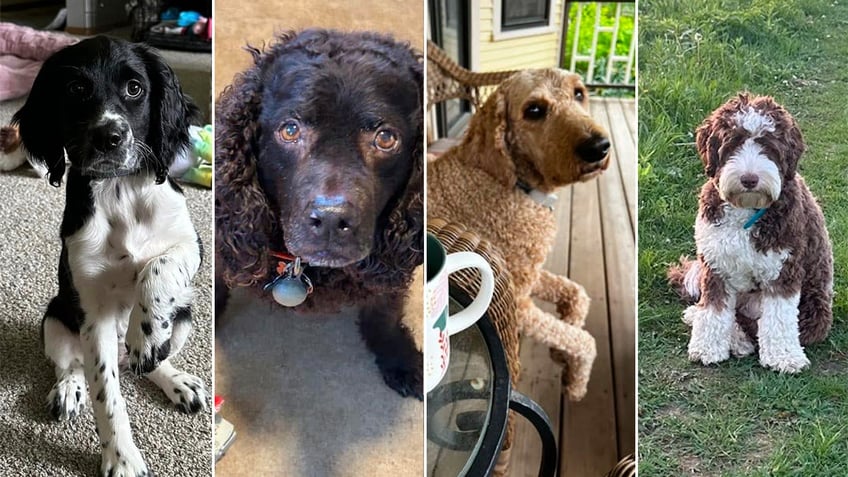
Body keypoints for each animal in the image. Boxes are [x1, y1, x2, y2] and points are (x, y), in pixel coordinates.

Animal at [13, 36, 207, 472]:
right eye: (75, 89)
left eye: (135, 88)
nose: (109, 137)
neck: (120, 191)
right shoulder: (92, 311)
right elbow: (106, 394)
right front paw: (122, 460)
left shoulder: (191, 242)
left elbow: (159, 265)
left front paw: (146, 332)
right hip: (55, 318)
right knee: (72, 364)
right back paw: (69, 389)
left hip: (184, 317)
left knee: (150, 363)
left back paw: (172, 375)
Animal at [430, 69, 608, 398]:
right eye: (534, 111)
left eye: (579, 93)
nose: (599, 147)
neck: (515, 183)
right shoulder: (520, 305)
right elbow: (585, 341)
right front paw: (577, 382)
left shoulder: (530, 274)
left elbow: (577, 294)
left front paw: (562, 356)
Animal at [668, 92, 836, 368]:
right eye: (732, 143)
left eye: (769, 146)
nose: (749, 179)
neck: (746, 209)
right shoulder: (716, 264)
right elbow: (714, 310)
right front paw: (707, 347)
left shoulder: (783, 268)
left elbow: (779, 317)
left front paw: (783, 356)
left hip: (815, 311)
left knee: (754, 325)